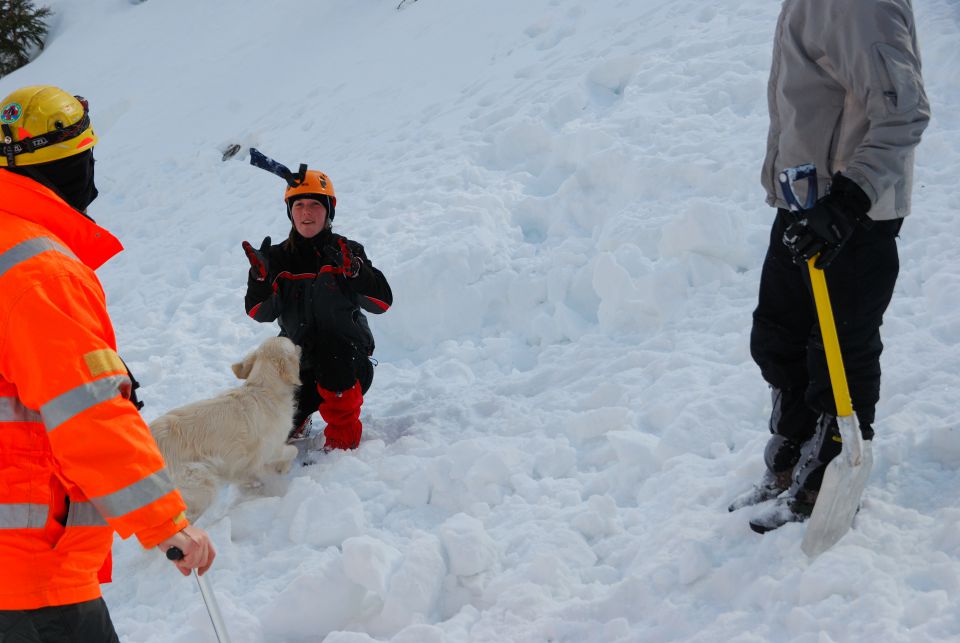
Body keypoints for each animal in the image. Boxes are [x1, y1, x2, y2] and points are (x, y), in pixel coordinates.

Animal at [150, 338, 302, 524]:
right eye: (291, 344)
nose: (300, 345)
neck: (263, 388)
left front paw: (252, 483)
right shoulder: (269, 450)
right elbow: (292, 450)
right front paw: (283, 471)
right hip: (201, 487)